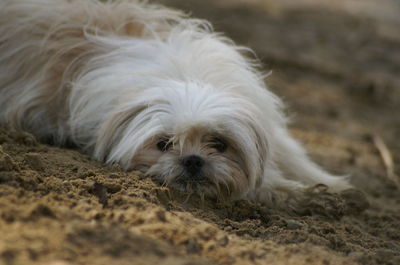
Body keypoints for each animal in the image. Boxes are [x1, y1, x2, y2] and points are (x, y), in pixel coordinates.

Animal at [0, 0, 350, 205]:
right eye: (164, 144)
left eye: (219, 144)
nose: (192, 160)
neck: (188, 76)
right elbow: (264, 183)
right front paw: (295, 192)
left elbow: (294, 158)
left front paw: (329, 185)